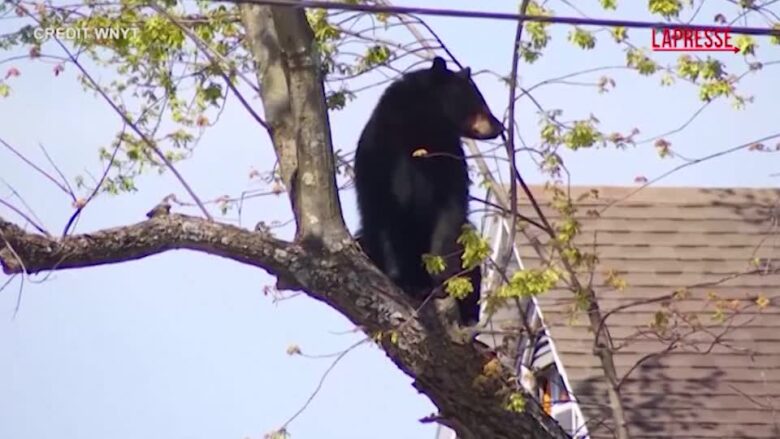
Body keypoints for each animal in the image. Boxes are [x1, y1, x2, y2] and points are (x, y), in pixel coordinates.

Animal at [353, 56, 503, 326]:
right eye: (477, 100)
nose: (500, 126)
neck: (421, 130)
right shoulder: (378, 152)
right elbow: (382, 211)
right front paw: (405, 280)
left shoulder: (448, 157)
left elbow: (450, 213)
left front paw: (441, 280)